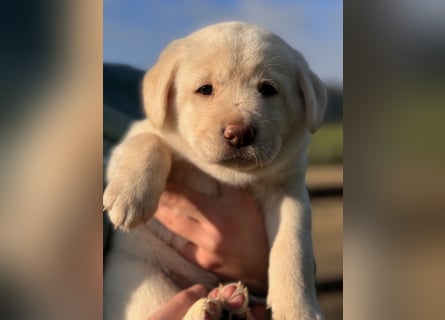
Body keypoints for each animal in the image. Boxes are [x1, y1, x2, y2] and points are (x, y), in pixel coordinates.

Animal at [104, 21, 326, 318]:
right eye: (205, 89)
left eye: (268, 89)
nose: (239, 134)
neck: (230, 176)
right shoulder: (132, 138)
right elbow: (149, 140)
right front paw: (130, 197)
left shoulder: (289, 190)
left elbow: (293, 245)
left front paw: (298, 309)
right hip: (140, 277)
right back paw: (207, 309)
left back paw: (225, 303)